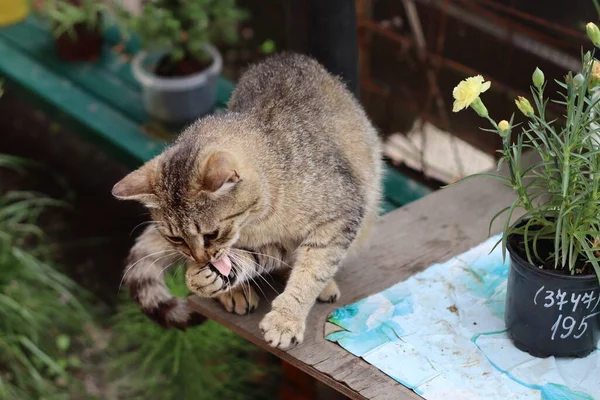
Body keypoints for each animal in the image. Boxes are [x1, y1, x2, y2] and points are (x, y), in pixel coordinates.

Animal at [113, 52, 380, 346]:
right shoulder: (273, 244)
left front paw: (286, 318)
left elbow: (312, 271)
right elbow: (253, 259)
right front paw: (215, 279)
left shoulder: (340, 217)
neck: (261, 219)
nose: (200, 258)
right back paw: (233, 291)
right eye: (176, 238)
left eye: (211, 234)